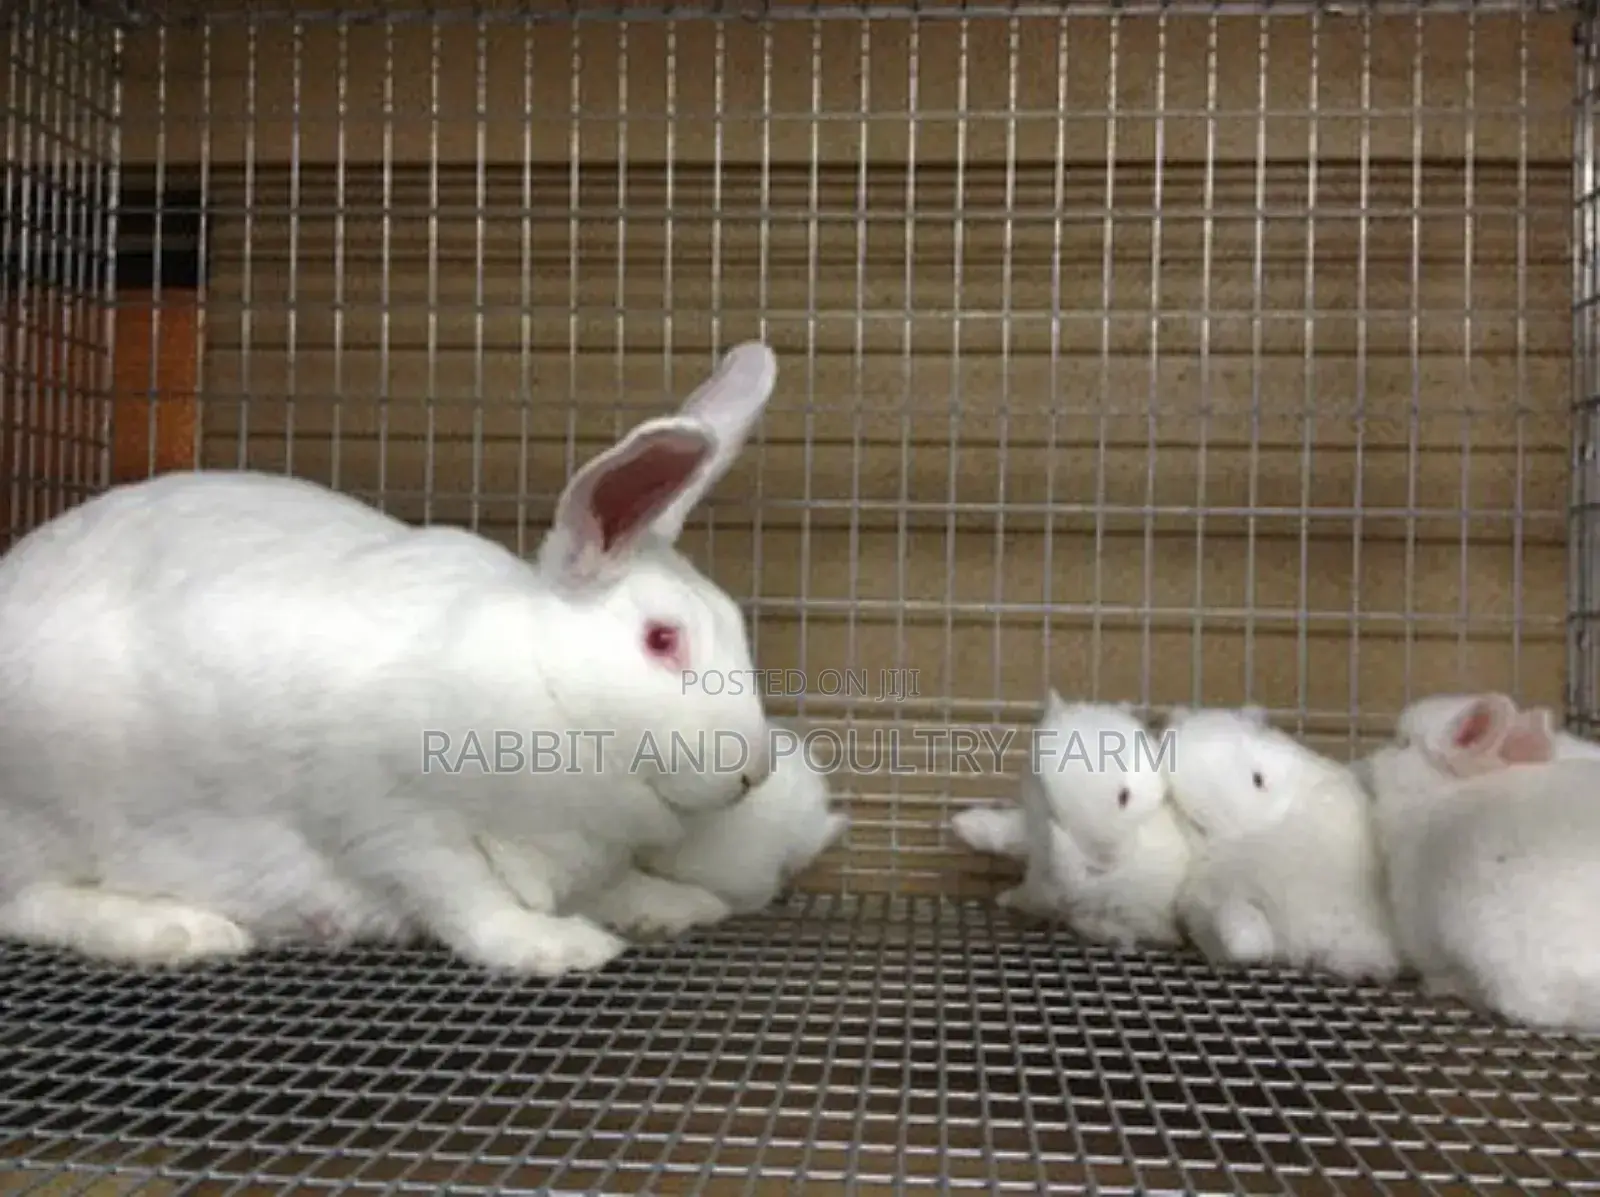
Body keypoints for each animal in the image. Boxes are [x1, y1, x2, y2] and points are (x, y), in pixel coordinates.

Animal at [0, 342, 783, 978]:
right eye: (661, 639)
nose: (754, 772)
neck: (546, 687)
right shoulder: (396, 821)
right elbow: (467, 901)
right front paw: (554, 945)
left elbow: (607, 886)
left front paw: (675, 903)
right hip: (48, 813)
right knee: (27, 904)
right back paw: (174, 929)